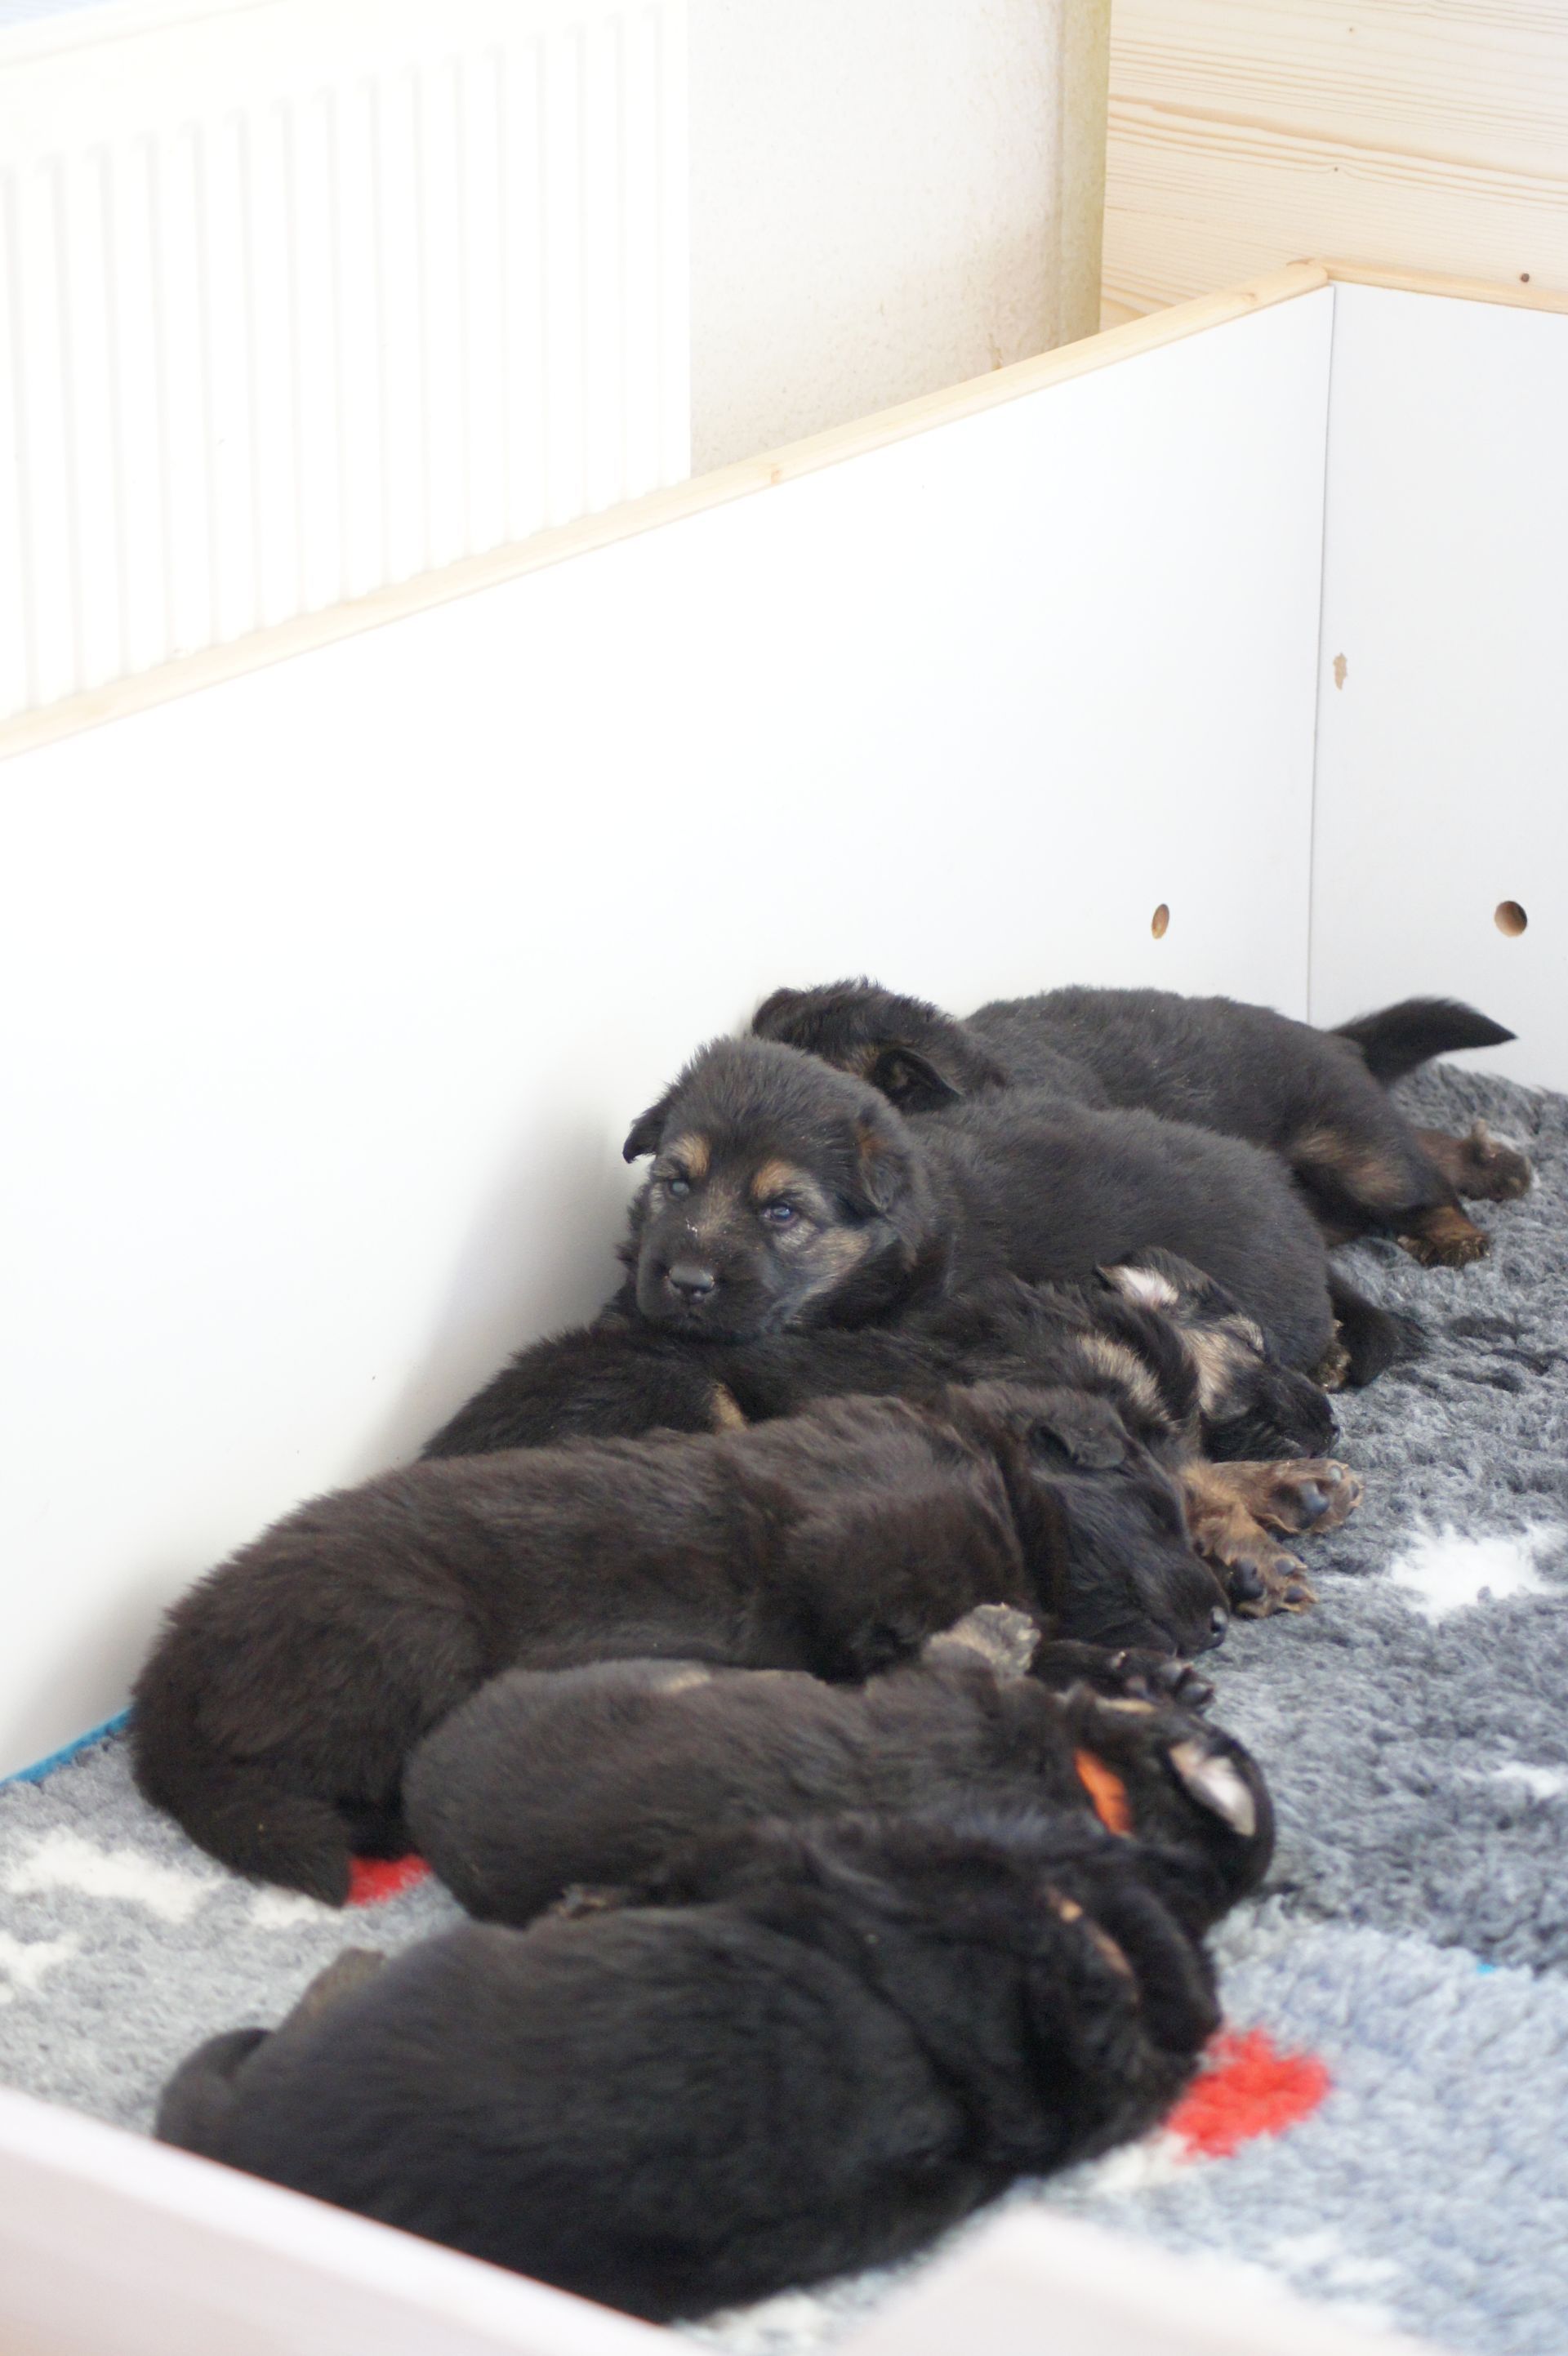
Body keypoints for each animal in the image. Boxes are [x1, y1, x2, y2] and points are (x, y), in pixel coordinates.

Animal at [132, 1378, 1232, 1903]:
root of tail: (167, 1667)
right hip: (409, 1631)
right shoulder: (846, 1553)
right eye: (1160, 1510)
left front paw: (1143, 1672)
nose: (1223, 1616)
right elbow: (915, 1632)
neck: (990, 1468)